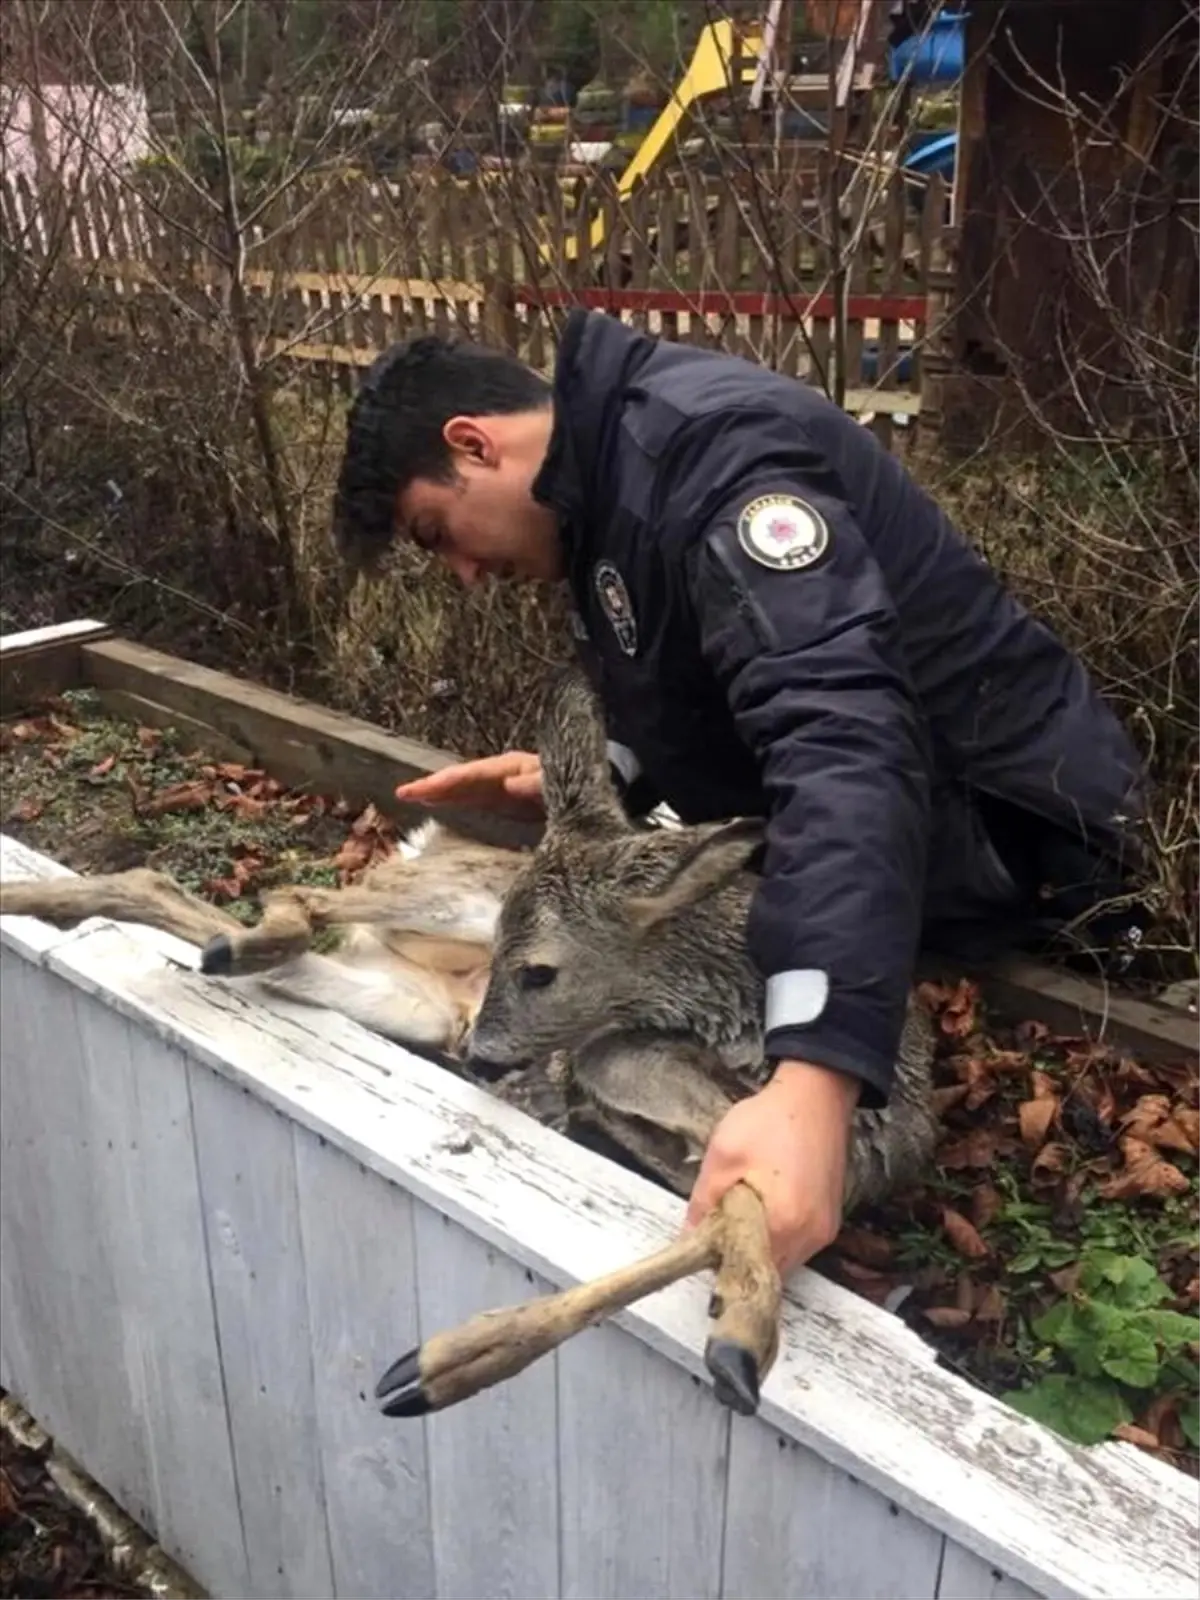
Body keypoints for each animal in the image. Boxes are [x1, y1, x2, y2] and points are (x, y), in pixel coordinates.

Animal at [0, 668, 940, 1420]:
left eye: (544, 971)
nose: (487, 1059)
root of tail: (434, 839)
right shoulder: (621, 1061)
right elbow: (725, 1210)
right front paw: (444, 1367)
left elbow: (724, 1215)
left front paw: (736, 1341)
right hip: (452, 906)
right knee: (302, 895)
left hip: (409, 995)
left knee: (188, 893)